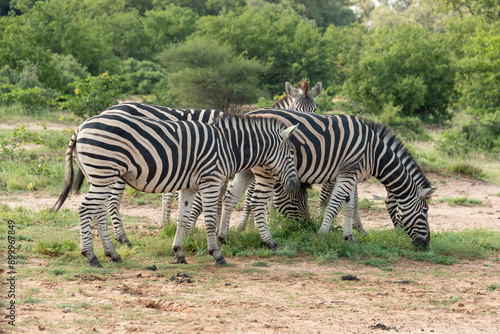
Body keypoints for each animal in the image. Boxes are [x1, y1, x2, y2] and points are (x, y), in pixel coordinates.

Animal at [55, 111, 298, 266]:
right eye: (292, 154)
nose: (295, 185)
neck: (229, 146)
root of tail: (80, 127)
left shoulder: (189, 186)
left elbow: (182, 218)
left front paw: (179, 253)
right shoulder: (211, 181)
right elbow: (210, 220)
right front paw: (217, 255)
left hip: (99, 177)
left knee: (97, 213)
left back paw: (112, 254)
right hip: (104, 172)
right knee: (85, 210)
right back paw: (91, 256)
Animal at [218, 109, 434, 248]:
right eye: (425, 211)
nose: (425, 244)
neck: (375, 153)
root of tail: (247, 115)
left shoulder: (351, 175)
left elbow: (349, 206)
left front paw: (350, 237)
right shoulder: (348, 173)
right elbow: (334, 204)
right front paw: (322, 235)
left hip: (247, 169)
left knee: (230, 198)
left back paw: (223, 237)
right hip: (267, 171)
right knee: (256, 202)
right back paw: (266, 240)